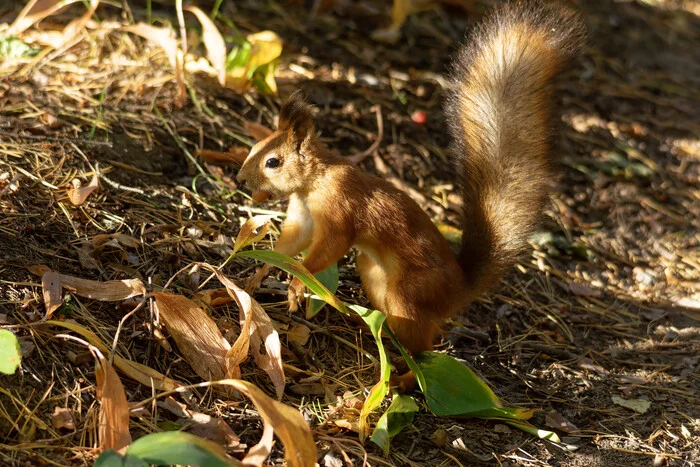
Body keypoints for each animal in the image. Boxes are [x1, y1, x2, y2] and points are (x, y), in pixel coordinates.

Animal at [235, 1, 584, 390]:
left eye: (272, 161)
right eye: (254, 147)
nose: (240, 179)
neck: (314, 183)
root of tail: (460, 288)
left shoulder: (341, 208)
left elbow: (330, 246)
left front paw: (298, 284)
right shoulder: (302, 217)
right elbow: (289, 244)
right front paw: (260, 272)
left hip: (410, 293)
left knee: (424, 349)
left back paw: (403, 378)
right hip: (374, 273)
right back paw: (367, 324)